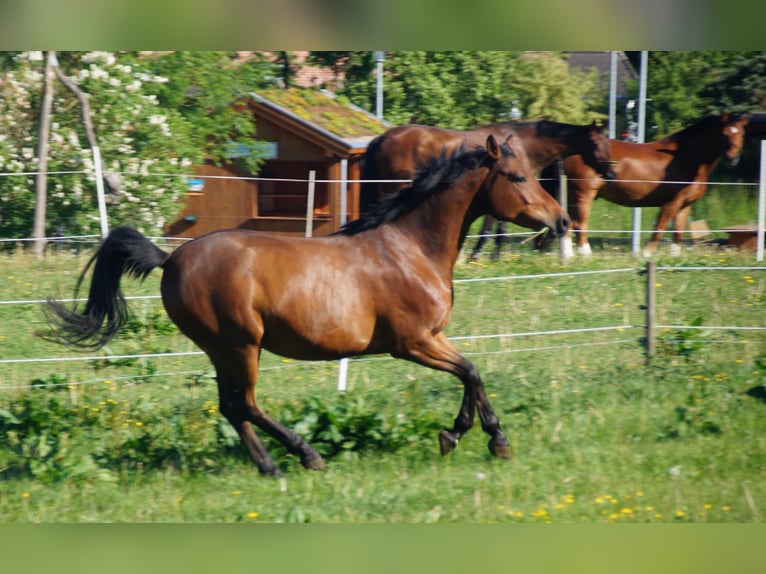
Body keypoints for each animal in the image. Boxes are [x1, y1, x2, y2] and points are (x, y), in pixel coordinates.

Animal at [45, 135, 570, 476]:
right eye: (517, 177)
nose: (562, 221)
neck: (410, 248)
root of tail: (171, 256)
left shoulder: (434, 338)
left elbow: (472, 375)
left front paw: (467, 436)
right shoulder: (413, 343)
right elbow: (472, 374)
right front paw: (484, 439)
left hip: (221, 350)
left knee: (232, 407)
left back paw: (271, 467)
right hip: (241, 344)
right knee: (245, 404)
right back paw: (306, 455)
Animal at [359, 120, 612, 260]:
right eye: (597, 144)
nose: (611, 173)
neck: (524, 144)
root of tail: (380, 139)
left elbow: (497, 229)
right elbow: (491, 230)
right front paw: (479, 256)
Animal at [539, 112, 750, 257]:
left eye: (741, 134)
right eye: (723, 134)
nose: (732, 159)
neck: (688, 157)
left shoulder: (685, 204)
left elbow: (678, 231)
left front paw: (675, 255)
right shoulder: (671, 202)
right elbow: (660, 228)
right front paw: (646, 254)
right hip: (583, 195)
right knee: (579, 224)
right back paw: (585, 254)